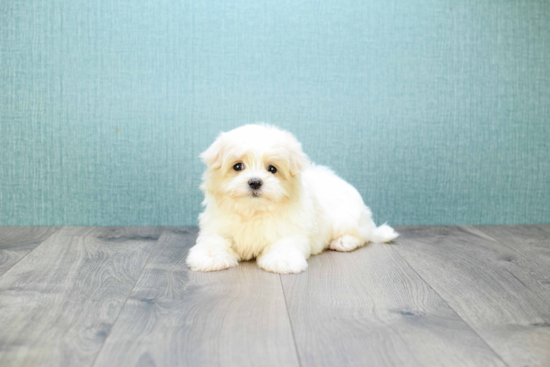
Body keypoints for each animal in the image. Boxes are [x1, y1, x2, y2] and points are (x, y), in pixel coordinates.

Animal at [188, 123, 398, 274]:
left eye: (272, 169)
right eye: (237, 166)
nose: (255, 182)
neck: (254, 211)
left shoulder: (291, 230)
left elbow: (285, 244)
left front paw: (281, 261)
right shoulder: (217, 227)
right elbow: (213, 241)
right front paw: (209, 258)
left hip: (346, 218)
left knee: (362, 235)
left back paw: (344, 242)